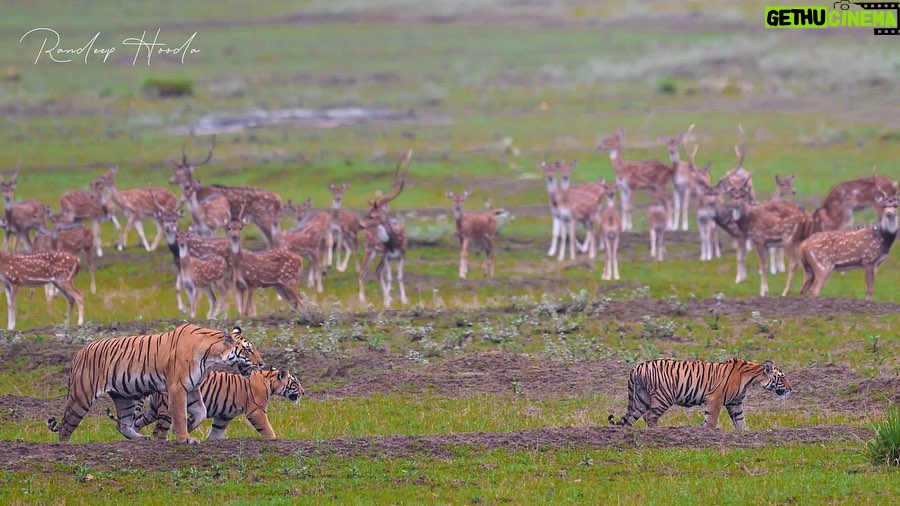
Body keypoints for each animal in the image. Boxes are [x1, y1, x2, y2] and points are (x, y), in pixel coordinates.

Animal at [47, 323, 262, 444]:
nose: (261, 363)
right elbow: (179, 414)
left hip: (124, 397)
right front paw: (185, 438)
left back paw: (141, 438)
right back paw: (65, 447)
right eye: (248, 349)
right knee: (65, 426)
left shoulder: (193, 389)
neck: (212, 356)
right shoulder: (177, 387)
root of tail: (80, 351)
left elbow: (201, 412)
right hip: (82, 396)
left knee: (123, 424)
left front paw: (190, 426)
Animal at [130, 366, 304, 440]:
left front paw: (211, 442)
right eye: (295, 383)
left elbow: (216, 431)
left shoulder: (224, 415)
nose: (303, 393)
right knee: (158, 432)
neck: (268, 380)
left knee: (137, 422)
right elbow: (267, 429)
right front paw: (274, 440)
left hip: (153, 410)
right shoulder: (256, 411)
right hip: (166, 410)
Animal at [608, 357, 791, 430]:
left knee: (630, 419)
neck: (751, 378)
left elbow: (740, 421)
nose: (791, 389)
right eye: (782, 378)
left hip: (641, 398)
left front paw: (745, 433)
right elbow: (711, 419)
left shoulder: (735, 403)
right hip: (663, 397)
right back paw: (663, 430)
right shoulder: (715, 398)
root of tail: (637, 367)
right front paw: (705, 431)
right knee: (649, 416)